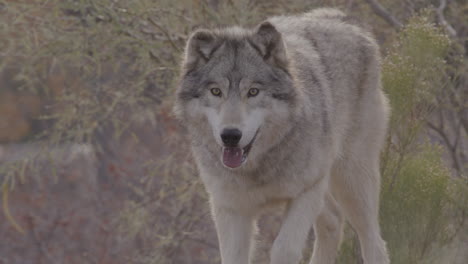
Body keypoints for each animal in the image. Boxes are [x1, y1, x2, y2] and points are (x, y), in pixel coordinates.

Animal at [174, 7, 390, 262]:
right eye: (216, 91)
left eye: (253, 91)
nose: (230, 135)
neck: (258, 168)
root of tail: (341, 16)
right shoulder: (230, 208)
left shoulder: (307, 191)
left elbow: (283, 248)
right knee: (334, 220)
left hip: (351, 182)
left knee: (374, 241)